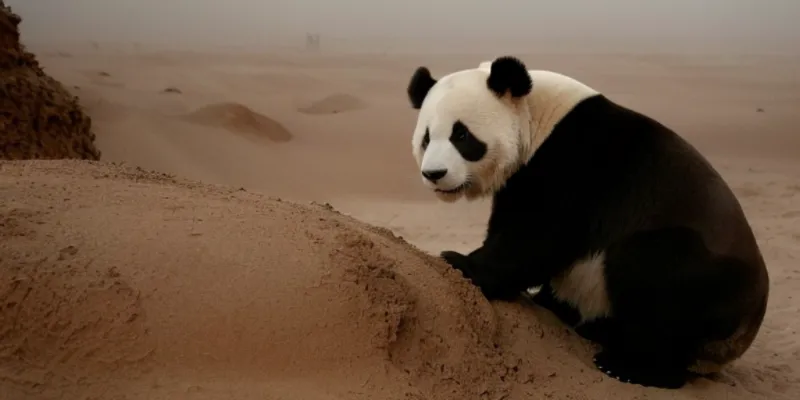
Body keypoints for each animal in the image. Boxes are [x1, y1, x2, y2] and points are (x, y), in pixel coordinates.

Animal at [406, 54, 768, 390]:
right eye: (426, 138)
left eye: (462, 135)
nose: (434, 173)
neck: (537, 116)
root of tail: (741, 336)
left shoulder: (576, 163)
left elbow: (538, 235)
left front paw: (459, 261)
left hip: (706, 276)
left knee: (655, 284)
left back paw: (629, 366)